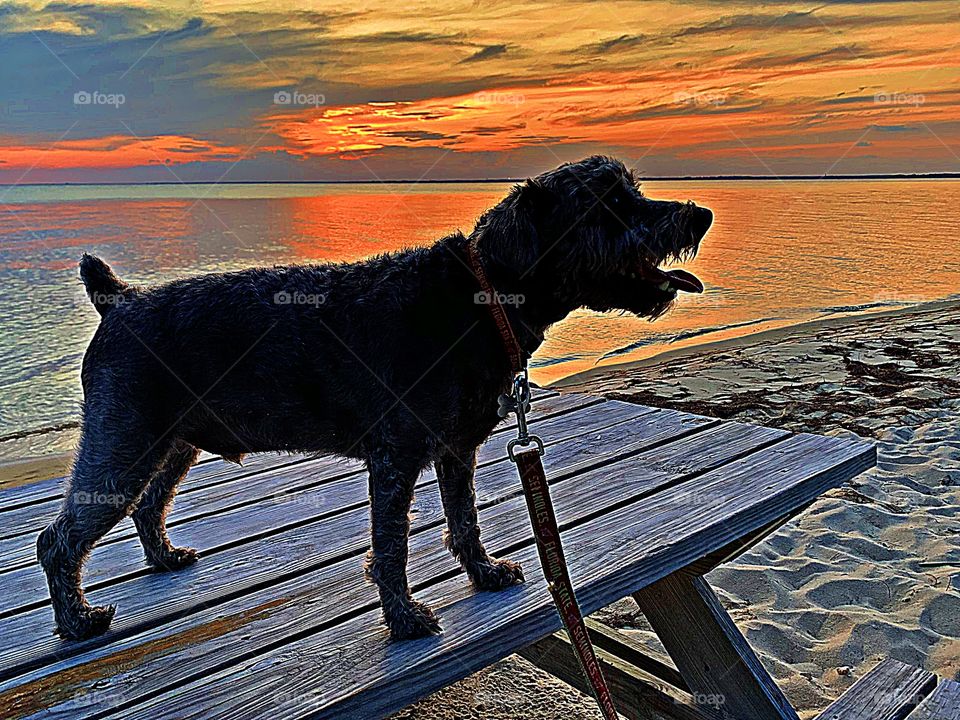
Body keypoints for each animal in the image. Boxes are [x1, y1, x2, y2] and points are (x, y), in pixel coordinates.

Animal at [39, 156, 712, 640]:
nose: (699, 215)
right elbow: (391, 546)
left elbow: (463, 520)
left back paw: (162, 559)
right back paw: (76, 622)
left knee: (149, 505)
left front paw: (483, 573)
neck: (482, 294)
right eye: (608, 203)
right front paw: (405, 619)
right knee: (59, 538)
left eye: (632, 190)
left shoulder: (455, 450)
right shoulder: (397, 458)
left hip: (171, 443)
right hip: (125, 441)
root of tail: (118, 299)